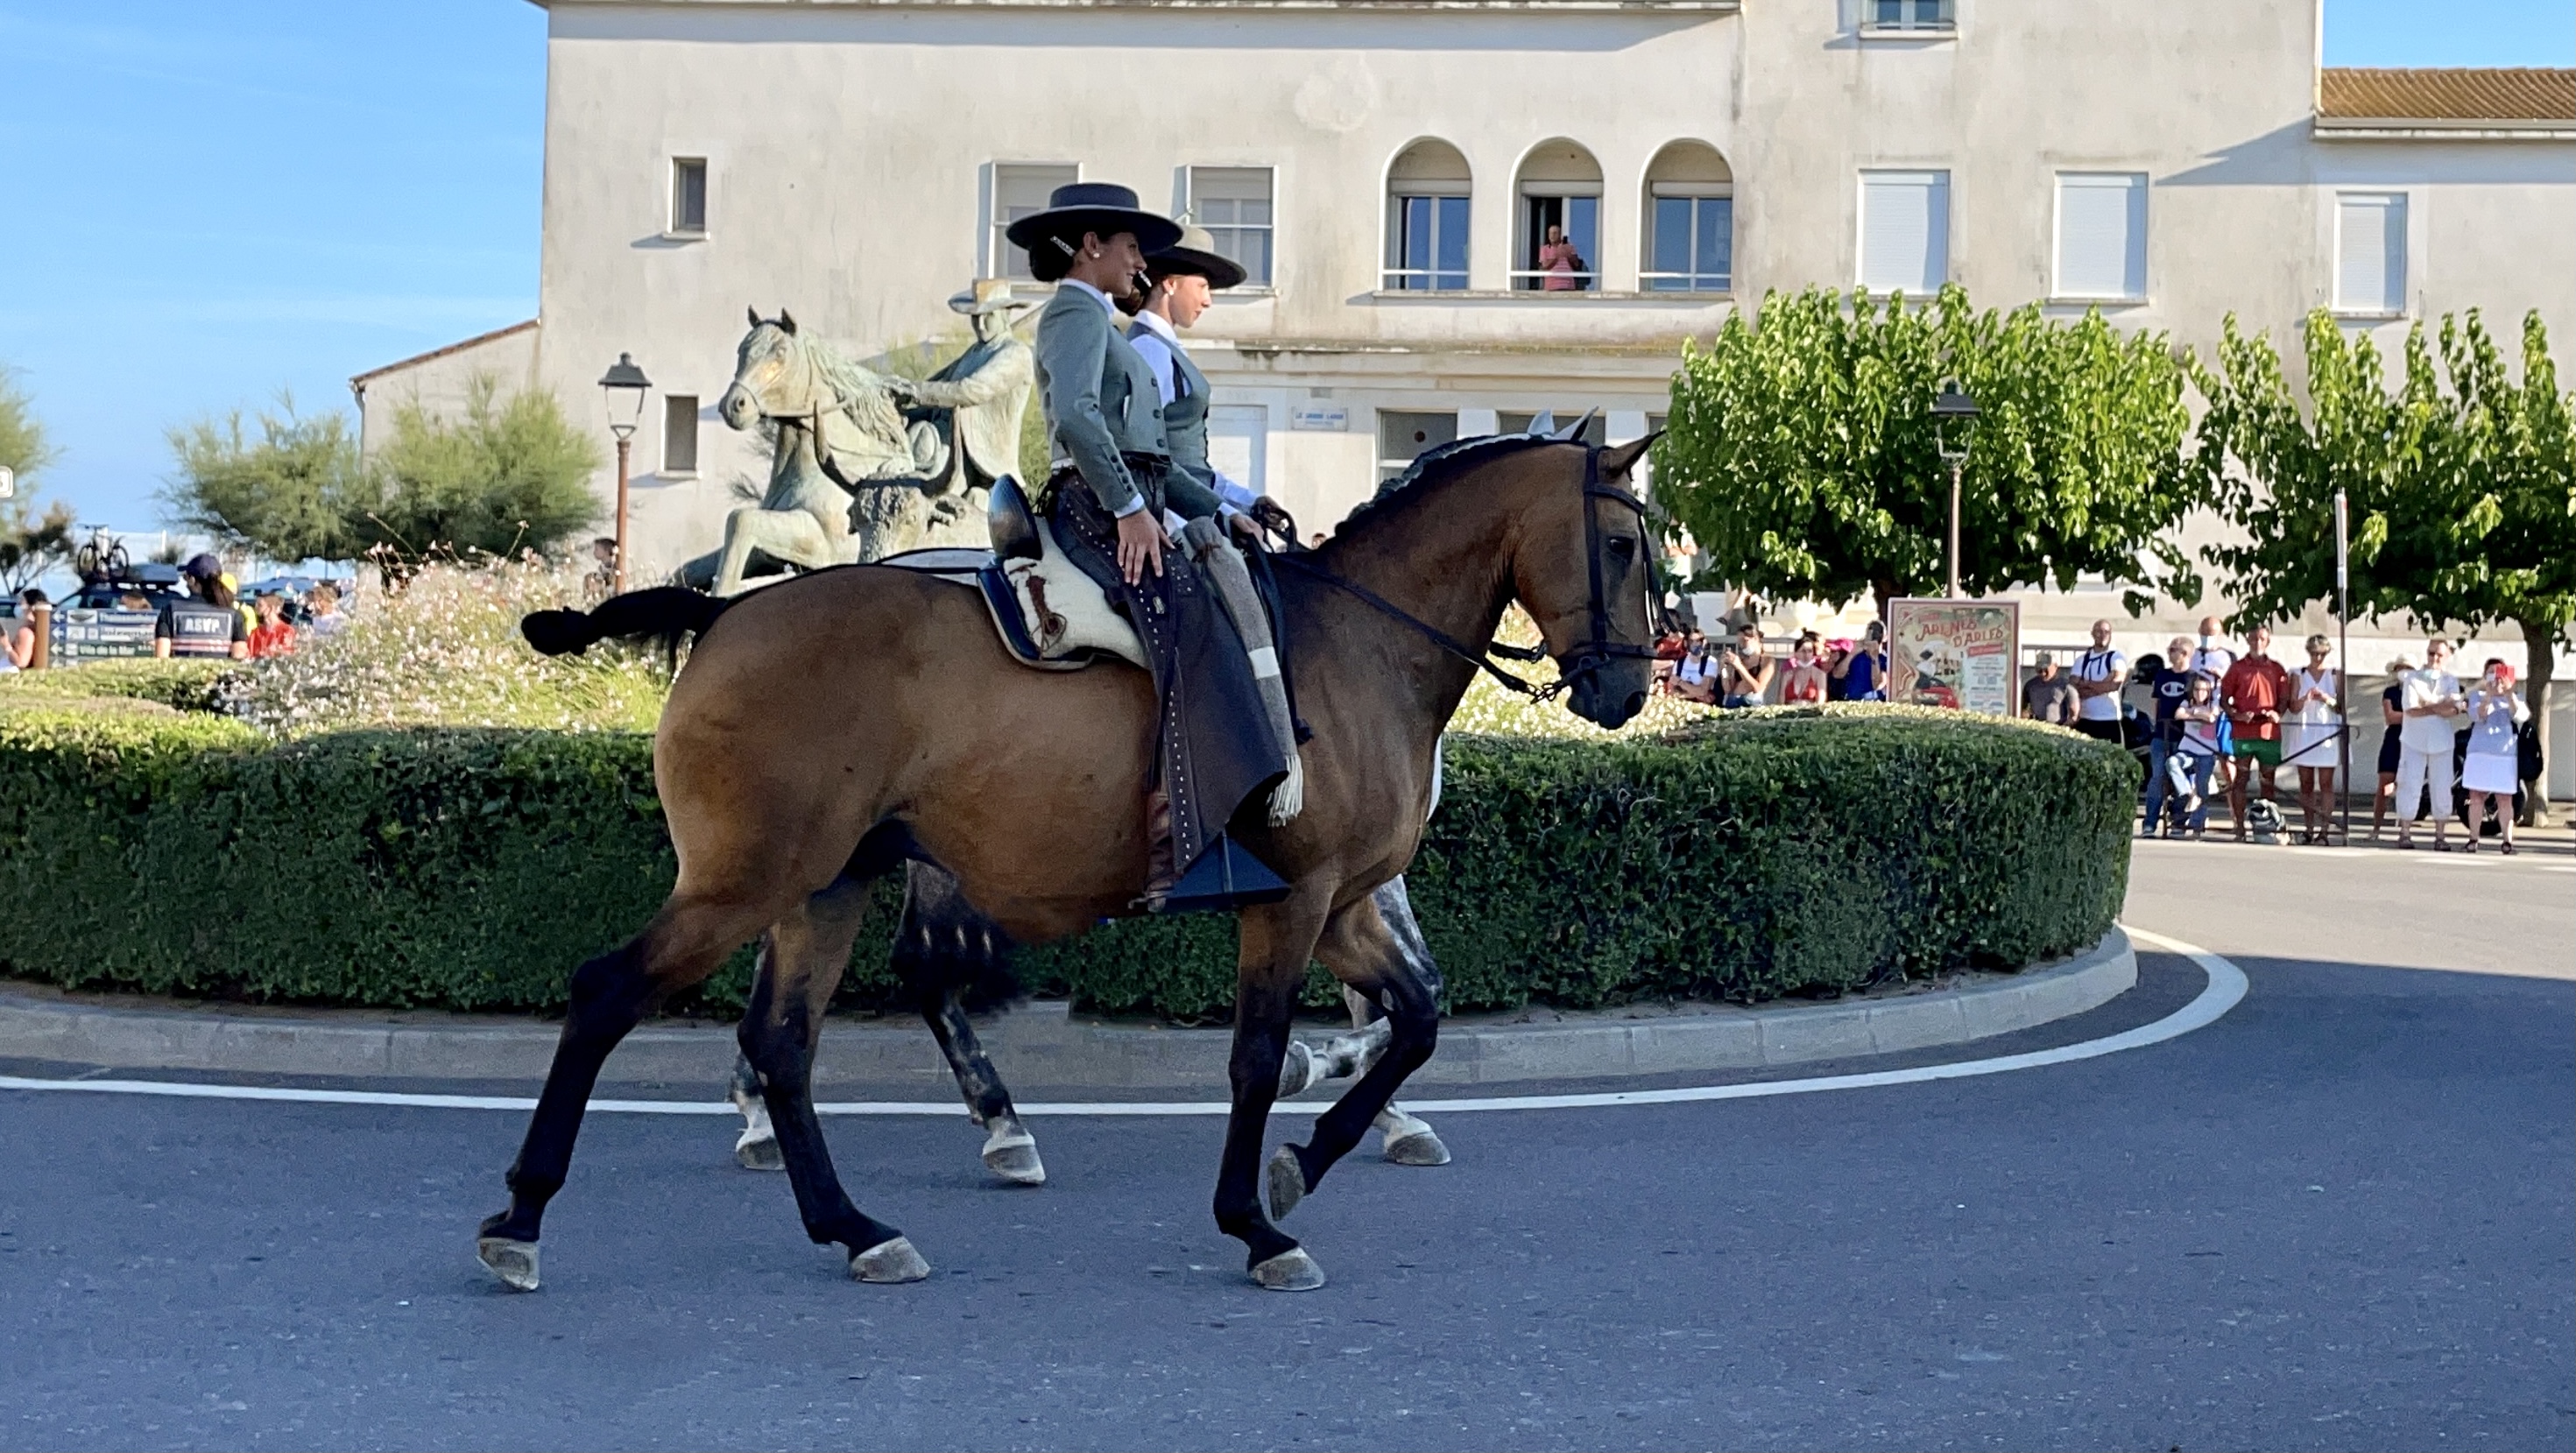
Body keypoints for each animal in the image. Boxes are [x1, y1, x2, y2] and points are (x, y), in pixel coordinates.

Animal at [482, 431, 1660, 1293]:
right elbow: (1259, 1056)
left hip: (824, 886)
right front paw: (1255, 1219)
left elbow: (1416, 1017)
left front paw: (1300, 1164)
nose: (1628, 691)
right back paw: (522, 1216)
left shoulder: (1341, 905)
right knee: (609, 994)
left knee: (784, 1044)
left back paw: (856, 1225)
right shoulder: (1296, 901)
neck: (1356, 645)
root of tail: (726, 611)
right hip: (746, 882)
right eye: (1624, 547)